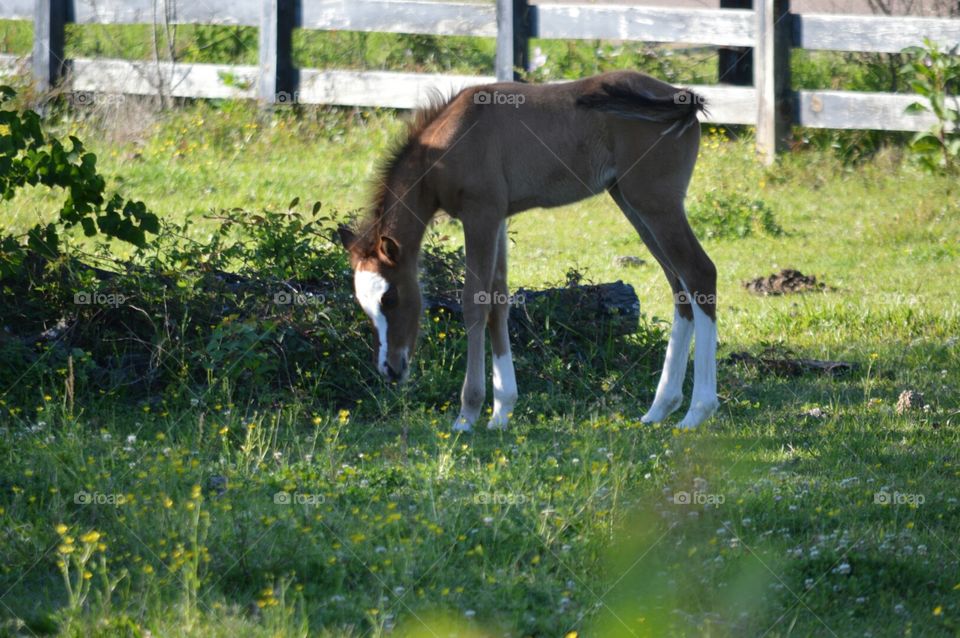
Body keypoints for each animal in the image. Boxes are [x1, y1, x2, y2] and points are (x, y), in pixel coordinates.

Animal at [338, 70, 718, 431]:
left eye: (390, 298)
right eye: (363, 304)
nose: (390, 369)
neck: (450, 140)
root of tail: (679, 95)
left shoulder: (481, 215)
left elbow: (473, 303)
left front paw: (468, 413)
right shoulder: (498, 220)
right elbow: (498, 301)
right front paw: (502, 411)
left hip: (655, 203)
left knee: (700, 273)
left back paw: (697, 412)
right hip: (630, 201)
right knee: (679, 286)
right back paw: (660, 409)